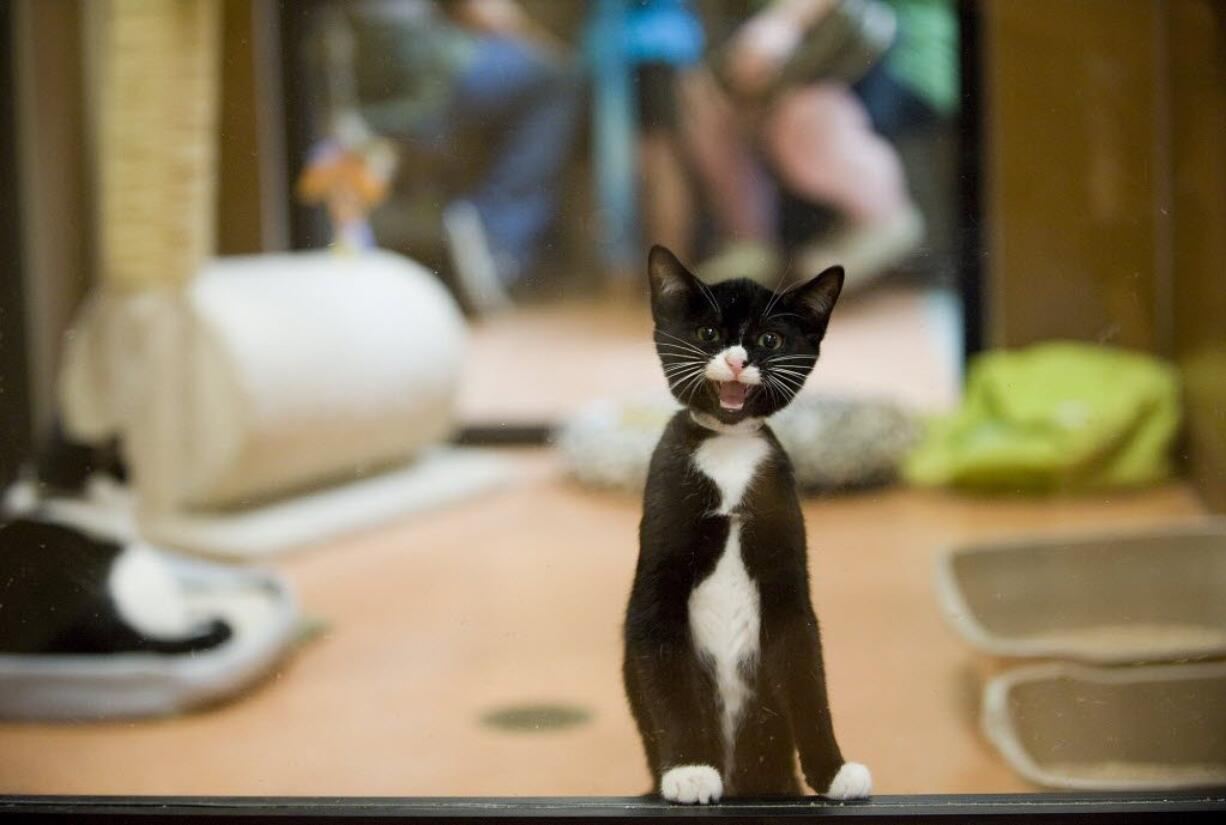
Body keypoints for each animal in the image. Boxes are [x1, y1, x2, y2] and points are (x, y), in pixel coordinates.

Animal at [622, 246, 872, 804]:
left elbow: (806, 673)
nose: (738, 359)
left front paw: (834, 770)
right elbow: (663, 668)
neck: (730, 447)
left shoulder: (787, 572)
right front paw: (689, 770)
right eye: (709, 333)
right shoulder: (658, 573)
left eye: (769, 340)